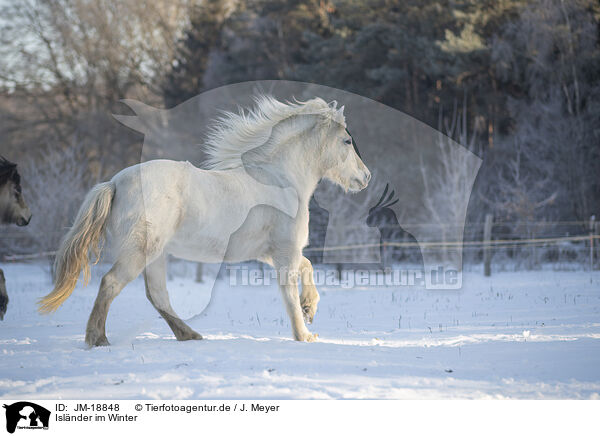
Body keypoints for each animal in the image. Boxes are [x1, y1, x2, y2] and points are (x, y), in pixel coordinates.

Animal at [38, 96, 370, 348]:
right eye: (347, 140)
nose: (365, 177)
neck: (280, 179)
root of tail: (115, 183)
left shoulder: (270, 252)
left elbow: (307, 267)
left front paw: (309, 307)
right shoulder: (284, 250)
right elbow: (290, 288)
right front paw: (305, 333)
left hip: (155, 256)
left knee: (157, 296)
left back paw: (190, 335)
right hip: (140, 252)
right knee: (111, 284)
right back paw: (98, 339)